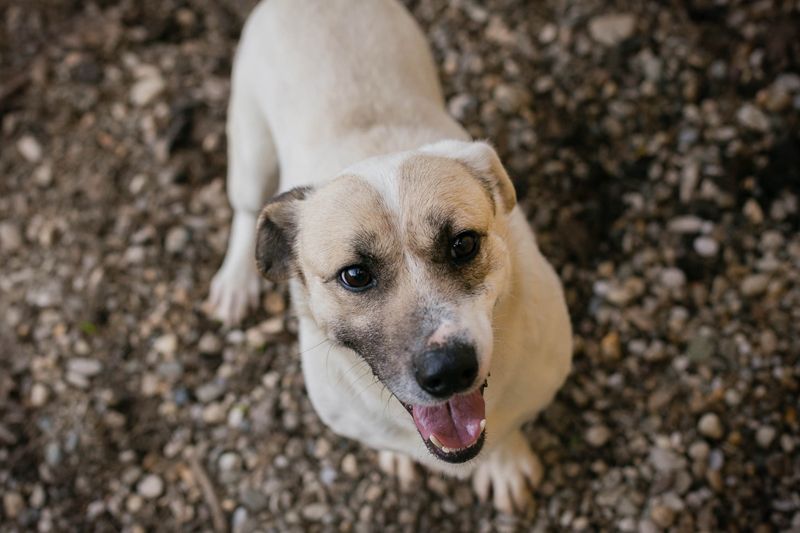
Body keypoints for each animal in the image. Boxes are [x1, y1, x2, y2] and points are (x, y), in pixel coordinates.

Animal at [206, 0, 572, 514]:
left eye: (463, 244)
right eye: (355, 275)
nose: (448, 370)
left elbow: (507, 430)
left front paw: (505, 462)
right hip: (251, 146)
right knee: (244, 209)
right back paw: (236, 282)